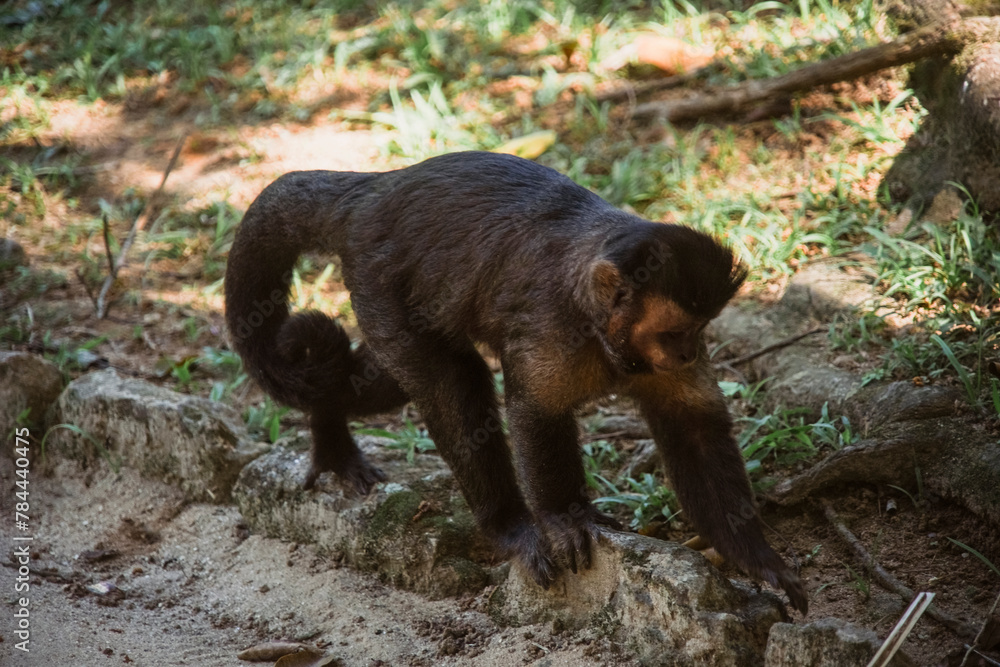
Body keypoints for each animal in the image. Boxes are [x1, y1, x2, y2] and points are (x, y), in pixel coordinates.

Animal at [224, 151, 808, 614]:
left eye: (699, 331)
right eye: (674, 332)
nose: (687, 353)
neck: (597, 323)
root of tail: (373, 189)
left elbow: (694, 427)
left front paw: (754, 558)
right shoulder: (552, 324)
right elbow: (535, 413)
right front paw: (564, 519)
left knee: (387, 378)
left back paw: (328, 426)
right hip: (378, 278)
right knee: (451, 382)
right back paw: (508, 526)